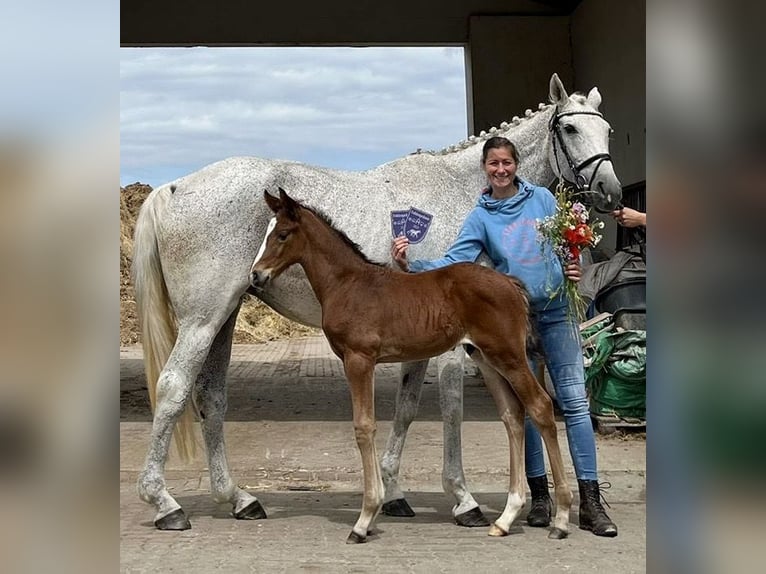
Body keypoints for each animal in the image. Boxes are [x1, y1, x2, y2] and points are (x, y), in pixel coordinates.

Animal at [250, 187, 574, 542]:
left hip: (509, 355)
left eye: (282, 234)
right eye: (266, 233)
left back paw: (560, 519)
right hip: (486, 358)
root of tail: (511, 283)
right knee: (512, 415)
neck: (347, 283)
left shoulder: (359, 359)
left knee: (540, 406)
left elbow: (364, 426)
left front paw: (364, 520)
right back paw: (505, 519)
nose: (256, 275)